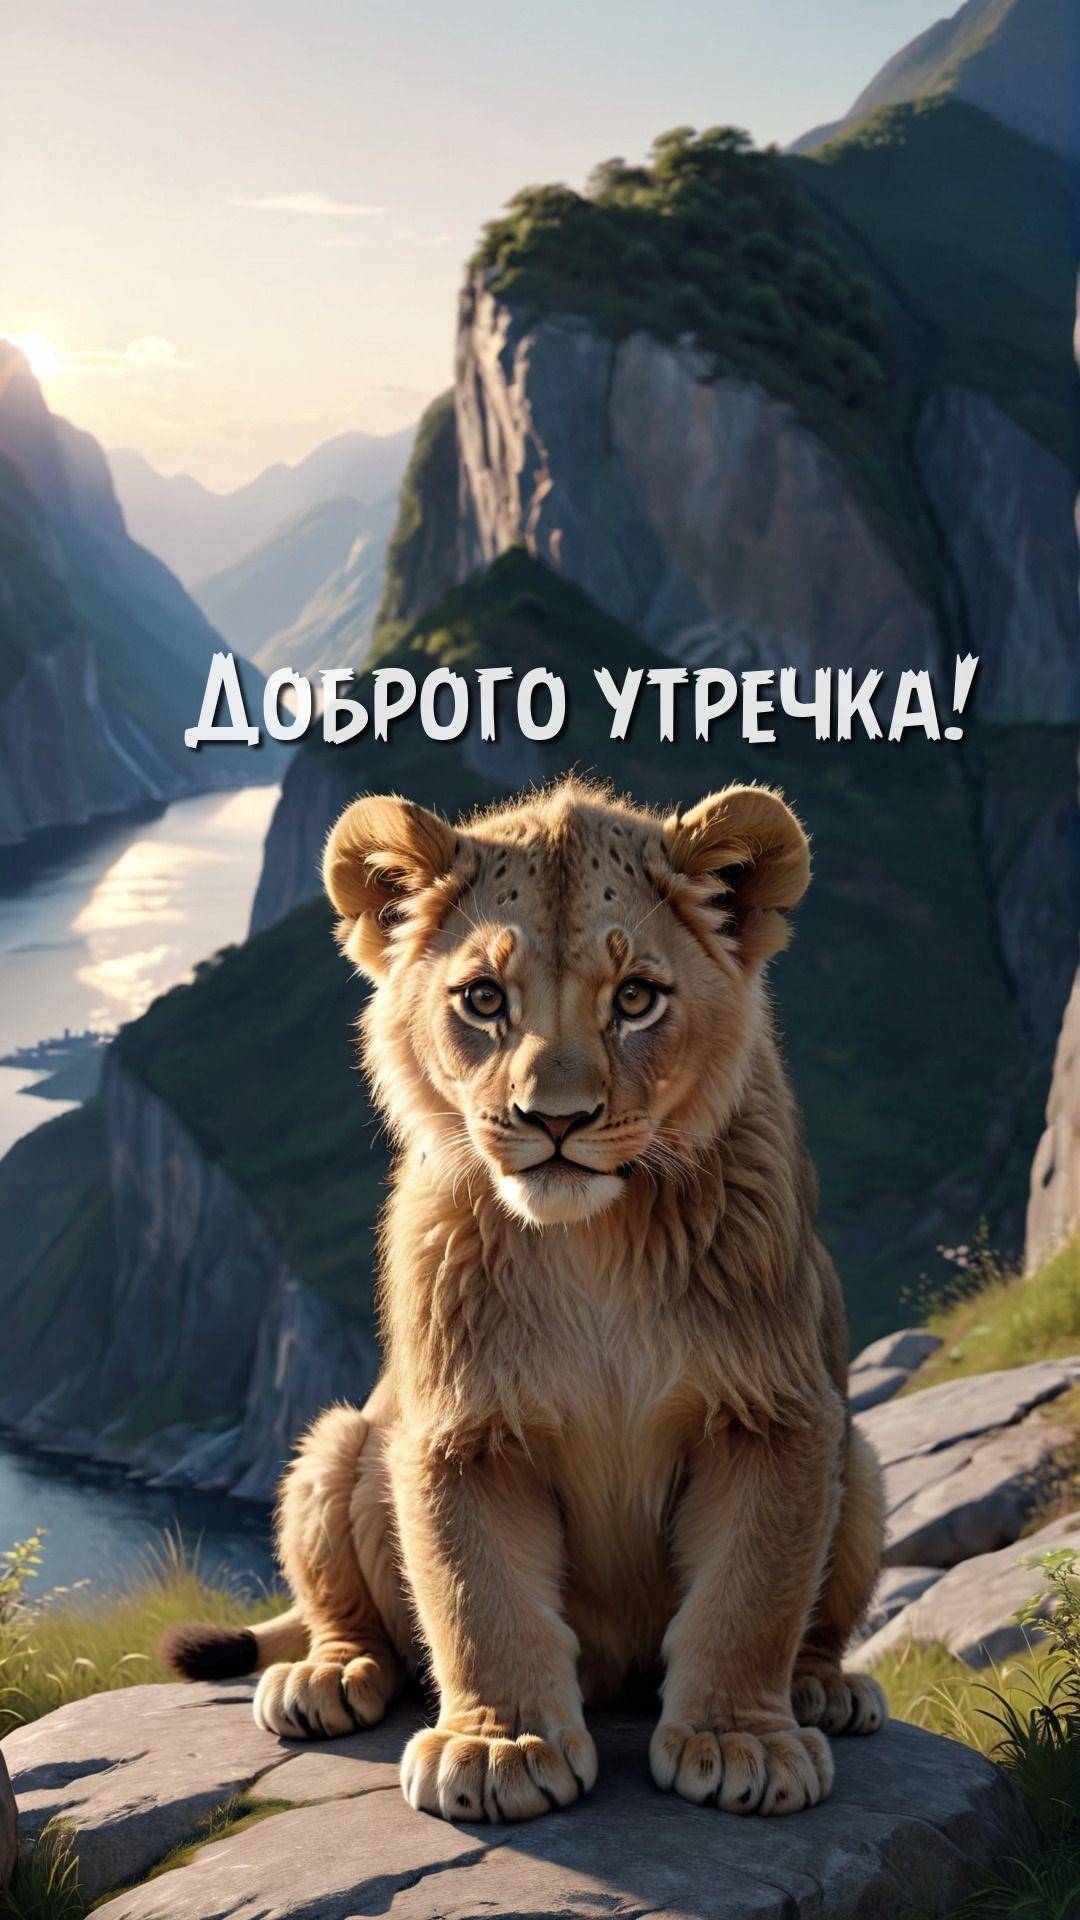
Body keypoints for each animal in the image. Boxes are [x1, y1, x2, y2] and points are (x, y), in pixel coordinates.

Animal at [164, 776, 887, 1822]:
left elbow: (751, 1594)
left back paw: (825, 1689)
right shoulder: (458, 1432)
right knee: (339, 1609)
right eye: (482, 999)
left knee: (817, 1618)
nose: (555, 1121)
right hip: (339, 1442)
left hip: (857, 1456)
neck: (591, 1244)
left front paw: (737, 1742)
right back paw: (324, 1678)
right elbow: (480, 1598)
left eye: (635, 998)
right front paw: (500, 1748)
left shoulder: (778, 1417)